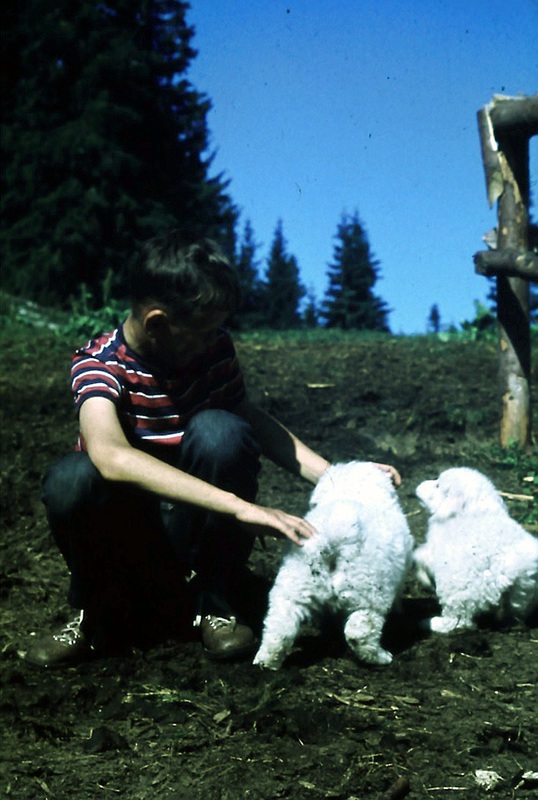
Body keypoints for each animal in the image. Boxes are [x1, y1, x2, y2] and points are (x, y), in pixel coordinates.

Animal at [251, 460, 410, 672]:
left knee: (279, 627)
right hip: (370, 592)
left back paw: (266, 663)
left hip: (294, 586)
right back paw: (380, 658)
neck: (352, 490)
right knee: (360, 631)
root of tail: (336, 533)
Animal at [412, 468, 532, 632]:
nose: (419, 485)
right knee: (514, 611)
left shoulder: (436, 549)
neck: (475, 510)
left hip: (457, 588)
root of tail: (507, 567)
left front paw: (424, 579)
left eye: (437, 486)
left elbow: (419, 556)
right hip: (522, 592)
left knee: (458, 620)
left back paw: (431, 623)